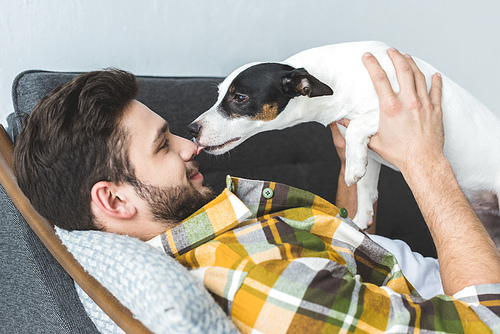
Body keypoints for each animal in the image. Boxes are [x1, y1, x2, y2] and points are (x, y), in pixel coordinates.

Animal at [188, 40, 500, 230]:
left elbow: (357, 132)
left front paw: (352, 169)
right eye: (219, 95)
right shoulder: (370, 149)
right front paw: (362, 216)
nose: (191, 129)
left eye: (239, 97)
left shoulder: (394, 111)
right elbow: (366, 186)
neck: (336, 79)